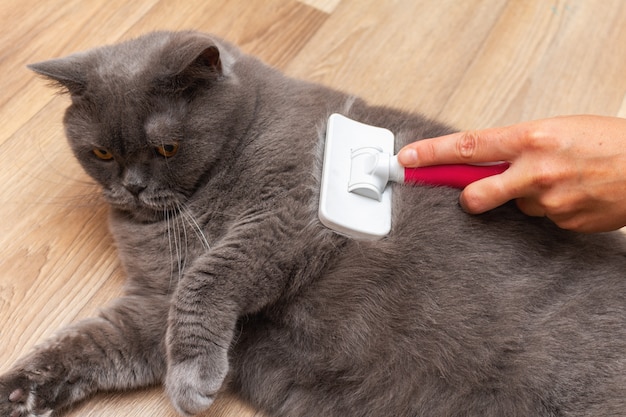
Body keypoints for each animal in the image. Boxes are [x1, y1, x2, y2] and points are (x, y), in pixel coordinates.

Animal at [1, 30, 624, 414]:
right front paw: (19, 392)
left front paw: (192, 381)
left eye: (166, 148)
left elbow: (208, 279)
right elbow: (94, 342)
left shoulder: (288, 215)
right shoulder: (154, 300)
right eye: (102, 153)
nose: (130, 186)